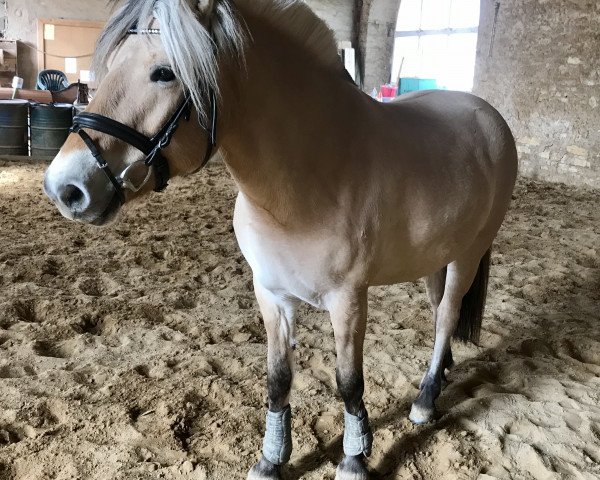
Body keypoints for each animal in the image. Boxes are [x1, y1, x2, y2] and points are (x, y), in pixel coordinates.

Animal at [43, 0, 520, 476]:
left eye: (164, 72)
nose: (65, 188)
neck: (312, 175)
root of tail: (488, 116)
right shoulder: (271, 295)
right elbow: (278, 378)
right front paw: (271, 460)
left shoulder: (348, 301)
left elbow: (349, 382)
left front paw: (353, 457)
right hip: (436, 256)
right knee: (439, 310)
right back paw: (441, 373)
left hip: (468, 255)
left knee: (446, 316)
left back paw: (425, 399)